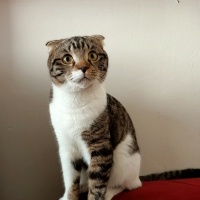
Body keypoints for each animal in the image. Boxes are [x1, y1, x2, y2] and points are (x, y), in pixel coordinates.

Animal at [46, 35, 141, 199]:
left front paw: (95, 195)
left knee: (125, 184)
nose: (83, 67)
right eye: (67, 58)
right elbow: (70, 178)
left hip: (123, 159)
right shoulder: (66, 147)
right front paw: (69, 196)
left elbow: (97, 181)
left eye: (92, 55)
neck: (75, 101)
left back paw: (109, 193)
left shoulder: (100, 146)